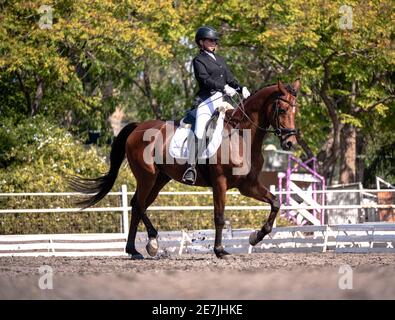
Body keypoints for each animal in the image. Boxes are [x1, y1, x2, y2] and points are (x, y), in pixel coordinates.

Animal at [70, 79, 300, 258]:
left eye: (295, 110)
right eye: (282, 109)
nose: (290, 143)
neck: (241, 136)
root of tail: (138, 127)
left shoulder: (247, 185)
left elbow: (275, 202)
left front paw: (255, 237)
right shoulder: (220, 183)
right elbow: (219, 217)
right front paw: (219, 250)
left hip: (160, 179)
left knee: (139, 205)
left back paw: (136, 249)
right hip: (147, 177)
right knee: (138, 204)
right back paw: (149, 243)